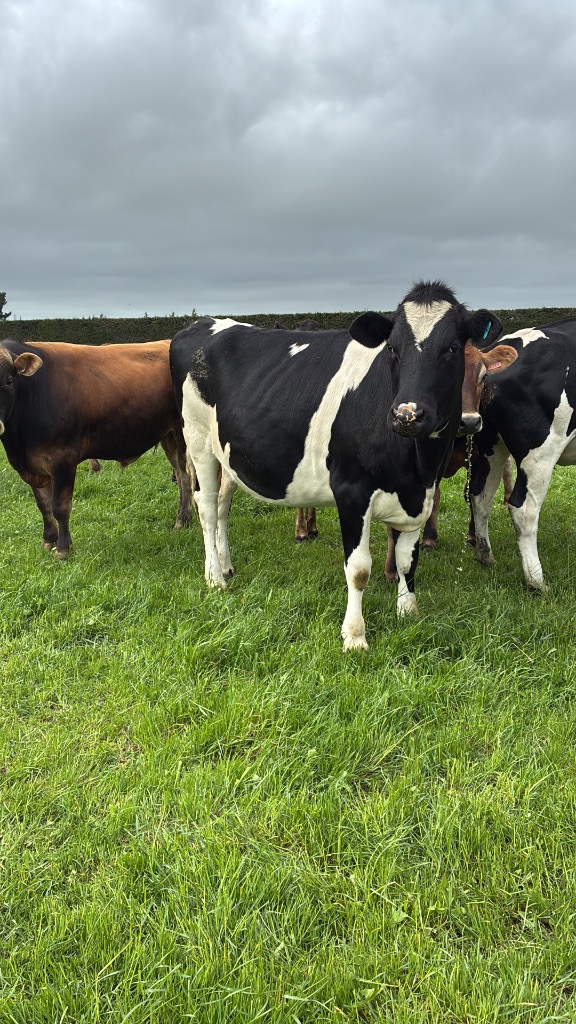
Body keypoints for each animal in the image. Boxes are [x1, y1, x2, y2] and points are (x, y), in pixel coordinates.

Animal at [0, 338, 192, 558]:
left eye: (9, 380)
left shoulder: (63, 460)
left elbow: (60, 507)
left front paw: (63, 549)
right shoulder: (34, 465)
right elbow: (44, 505)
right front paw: (49, 541)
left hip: (183, 433)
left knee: (185, 476)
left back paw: (182, 521)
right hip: (168, 435)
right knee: (179, 474)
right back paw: (184, 520)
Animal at [170, 281, 500, 650]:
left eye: (452, 348)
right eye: (392, 349)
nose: (407, 415)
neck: (416, 467)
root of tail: (202, 324)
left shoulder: (422, 494)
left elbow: (407, 560)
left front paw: (408, 611)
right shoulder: (351, 491)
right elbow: (358, 569)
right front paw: (355, 637)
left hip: (228, 453)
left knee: (224, 504)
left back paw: (226, 566)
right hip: (197, 439)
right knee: (207, 506)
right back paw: (214, 577)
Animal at [469, 318, 576, 591]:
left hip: (490, 445)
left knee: (480, 495)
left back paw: (485, 556)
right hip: (540, 454)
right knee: (523, 509)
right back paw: (536, 581)